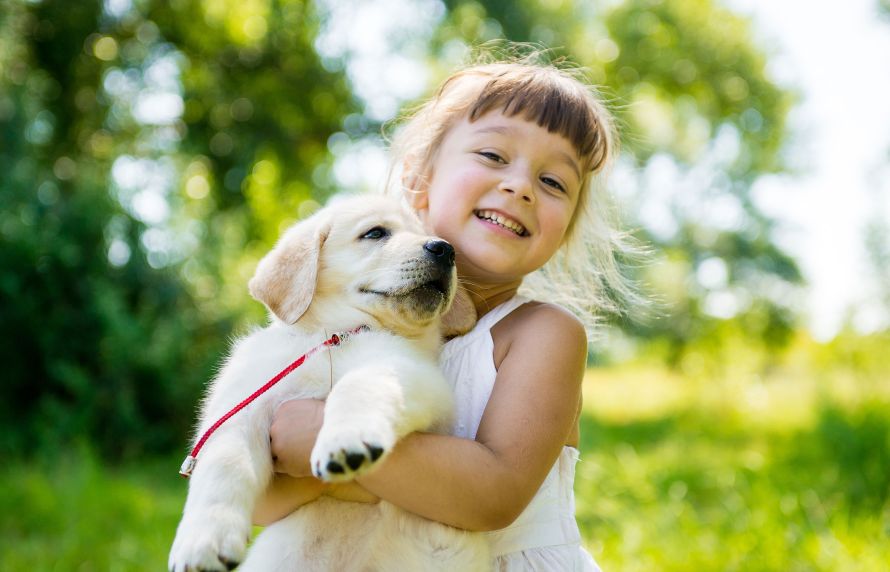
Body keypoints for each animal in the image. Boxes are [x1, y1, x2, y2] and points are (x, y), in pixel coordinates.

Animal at [170, 196, 490, 572]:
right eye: (375, 233)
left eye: (438, 239)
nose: (445, 249)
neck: (335, 335)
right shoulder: (242, 405)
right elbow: (224, 465)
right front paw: (202, 542)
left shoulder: (412, 372)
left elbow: (358, 385)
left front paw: (347, 440)